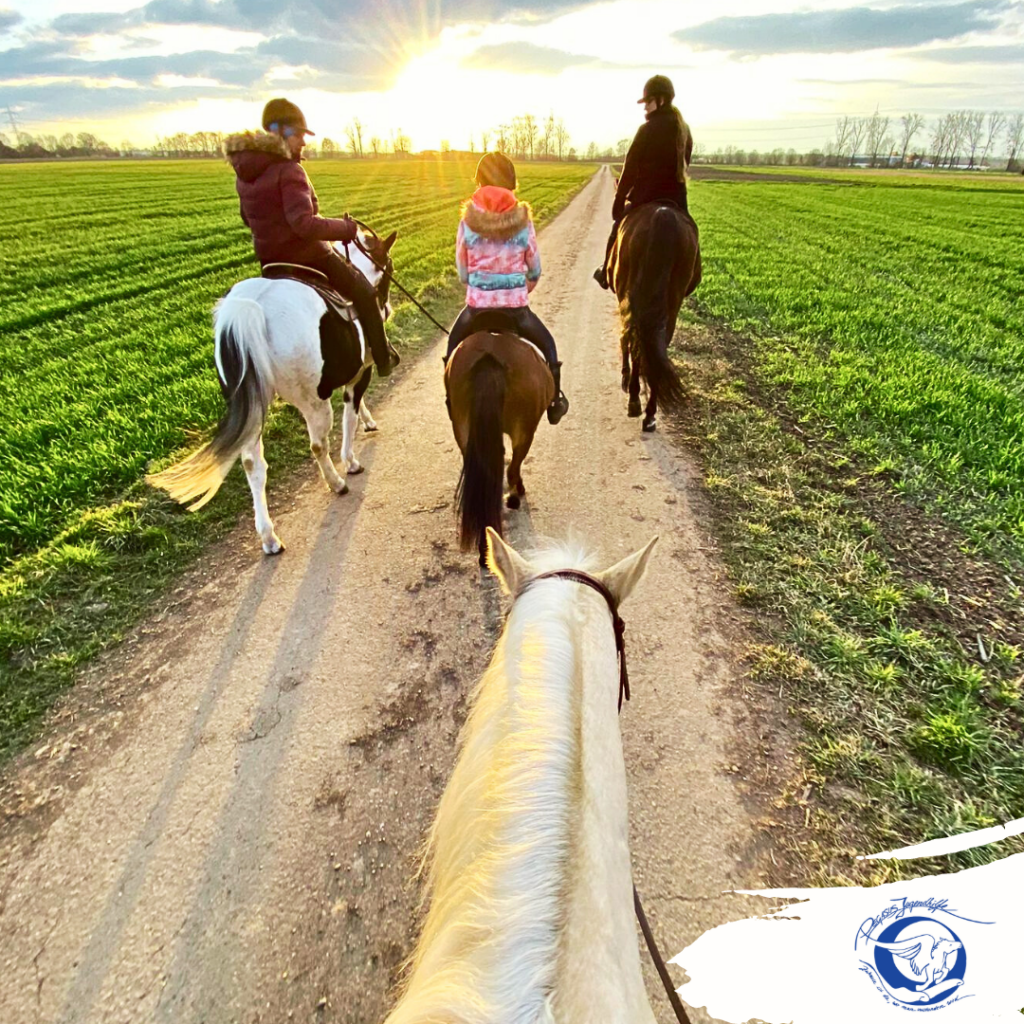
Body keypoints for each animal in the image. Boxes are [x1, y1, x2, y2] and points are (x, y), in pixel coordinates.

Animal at [148, 229, 395, 557]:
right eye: (388, 268)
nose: (387, 310)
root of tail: (249, 306)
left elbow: (355, 406)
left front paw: (368, 422)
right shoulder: (361, 370)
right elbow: (350, 413)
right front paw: (352, 460)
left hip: (254, 408)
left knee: (252, 464)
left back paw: (268, 537)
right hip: (313, 401)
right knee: (318, 445)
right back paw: (336, 482)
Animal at [610, 203, 700, 432]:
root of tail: (663, 215)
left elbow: (624, 337)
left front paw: (625, 376)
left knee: (634, 341)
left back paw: (634, 399)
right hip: (673, 300)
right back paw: (650, 413)